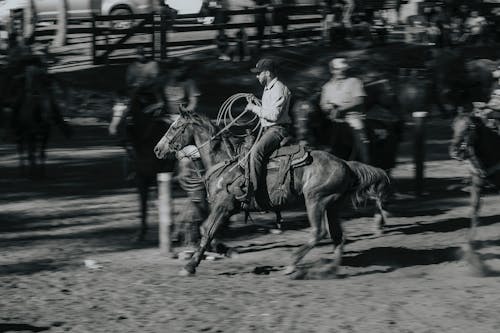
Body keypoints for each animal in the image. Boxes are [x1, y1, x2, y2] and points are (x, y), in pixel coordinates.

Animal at [108, 85, 176, 241]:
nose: (114, 132)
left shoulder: (160, 176)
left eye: (128, 111)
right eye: (114, 109)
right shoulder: (141, 177)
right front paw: (141, 233)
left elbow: (163, 202)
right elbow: (143, 203)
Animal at [153, 110, 390, 276]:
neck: (224, 161)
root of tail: (345, 164)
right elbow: (210, 233)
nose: (157, 149)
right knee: (337, 237)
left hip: (316, 200)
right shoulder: (227, 209)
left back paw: (293, 264)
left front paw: (190, 266)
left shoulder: (223, 205)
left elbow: (206, 231)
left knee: (319, 232)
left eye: (175, 127)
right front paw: (227, 251)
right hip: (332, 205)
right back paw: (329, 269)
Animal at [450, 111, 500, 274]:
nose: (455, 151)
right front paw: (470, 250)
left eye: (469, 128)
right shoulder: (477, 185)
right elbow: (474, 212)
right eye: (453, 126)